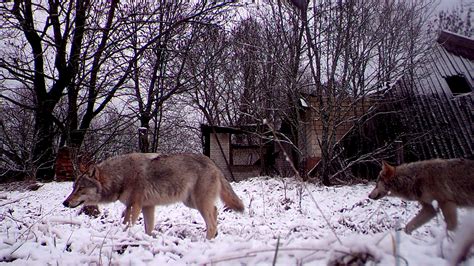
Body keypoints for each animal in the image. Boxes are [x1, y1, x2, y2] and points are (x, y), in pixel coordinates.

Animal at [63, 153, 244, 240]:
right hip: (191, 203)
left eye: (80, 188)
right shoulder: (147, 207)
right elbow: (148, 229)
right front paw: (146, 240)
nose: (65, 203)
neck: (122, 175)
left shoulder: (134, 205)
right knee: (215, 210)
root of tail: (213, 163)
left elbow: (127, 224)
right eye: (73, 188)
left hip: (198, 203)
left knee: (211, 222)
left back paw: (207, 242)